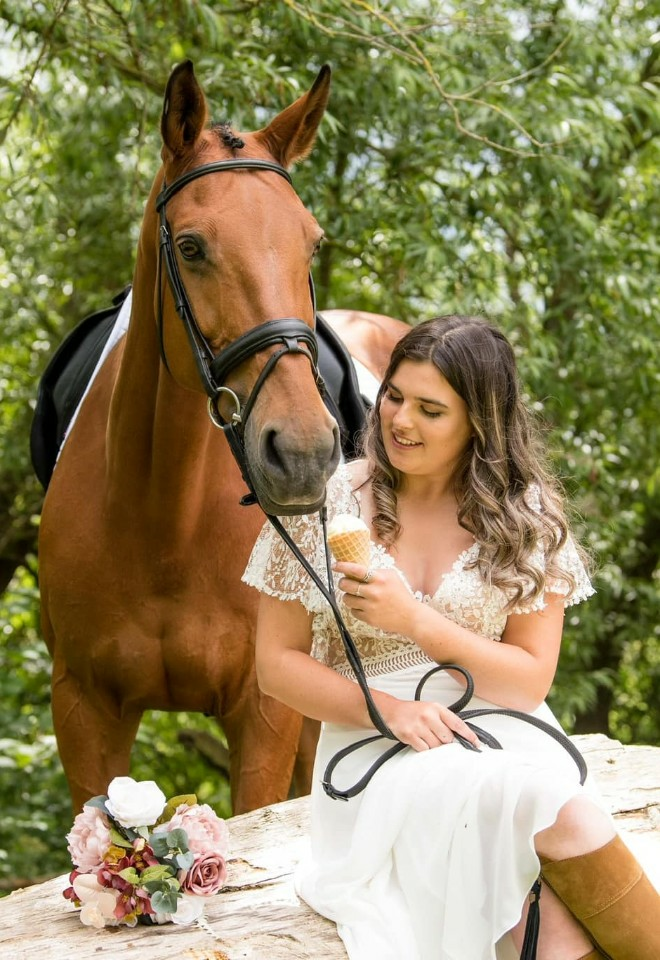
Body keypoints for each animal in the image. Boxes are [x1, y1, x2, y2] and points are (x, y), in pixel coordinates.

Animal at [37, 60, 408, 815]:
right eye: (190, 247)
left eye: (310, 242)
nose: (302, 453)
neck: (164, 521)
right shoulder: (84, 714)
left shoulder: (263, 713)